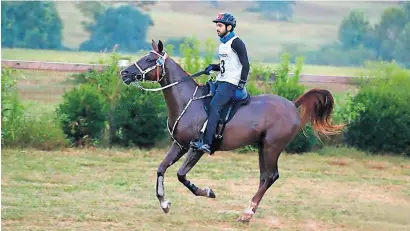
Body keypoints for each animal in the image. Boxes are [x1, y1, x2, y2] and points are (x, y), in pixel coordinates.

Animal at [120, 39, 344, 222]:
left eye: (150, 59)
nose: (124, 73)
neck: (188, 101)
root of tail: (292, 104)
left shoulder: (198, 148)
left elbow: (181, 175)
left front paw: (207, 192)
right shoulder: (180, 145)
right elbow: (161, 168)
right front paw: (164, 203)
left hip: (272, 146)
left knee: (271, 176)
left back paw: (247, 213)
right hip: (262, 146)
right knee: (264, 177)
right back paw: (248, 211)